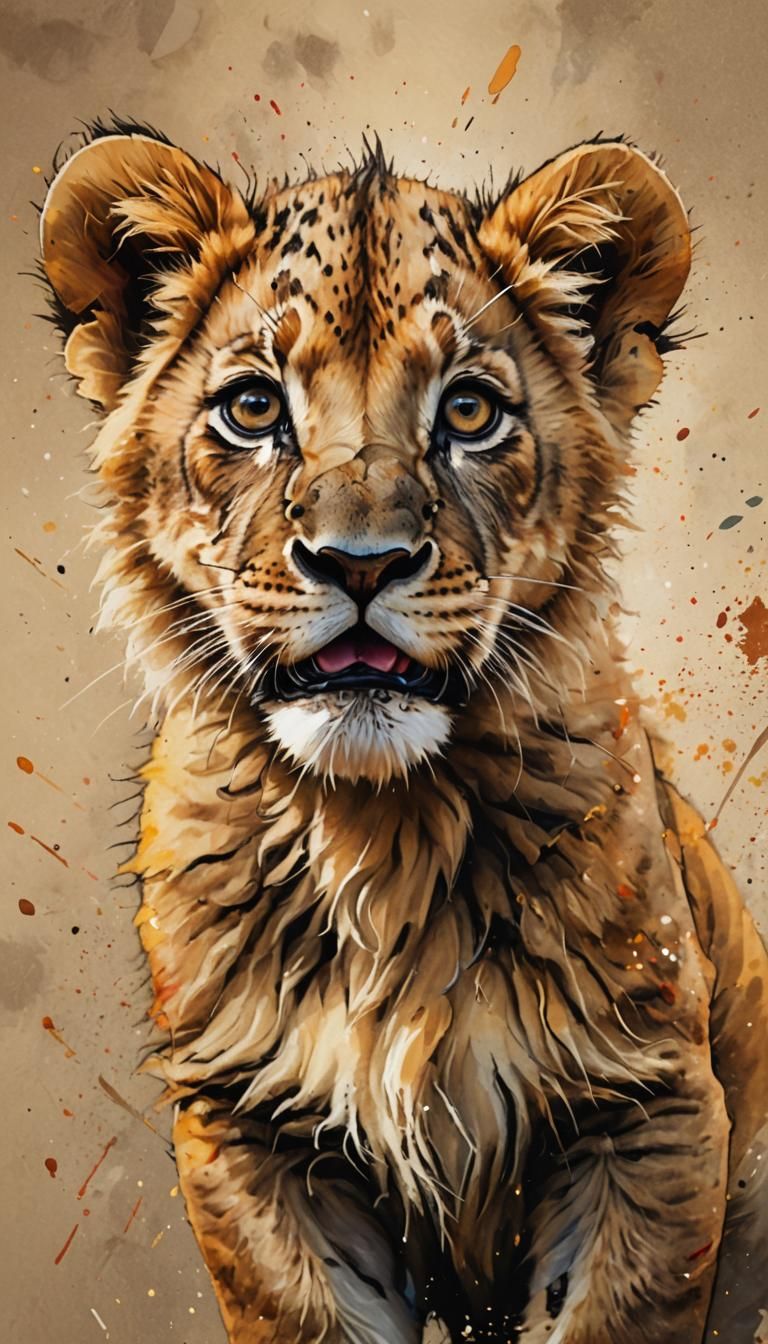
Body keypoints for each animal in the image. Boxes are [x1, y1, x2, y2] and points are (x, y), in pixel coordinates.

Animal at [39, 121, 767, 1343]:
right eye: (253, 408)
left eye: (470, 413)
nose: (361, 561)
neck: (381, 830)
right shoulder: (251, 1127)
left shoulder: (650, 1104)